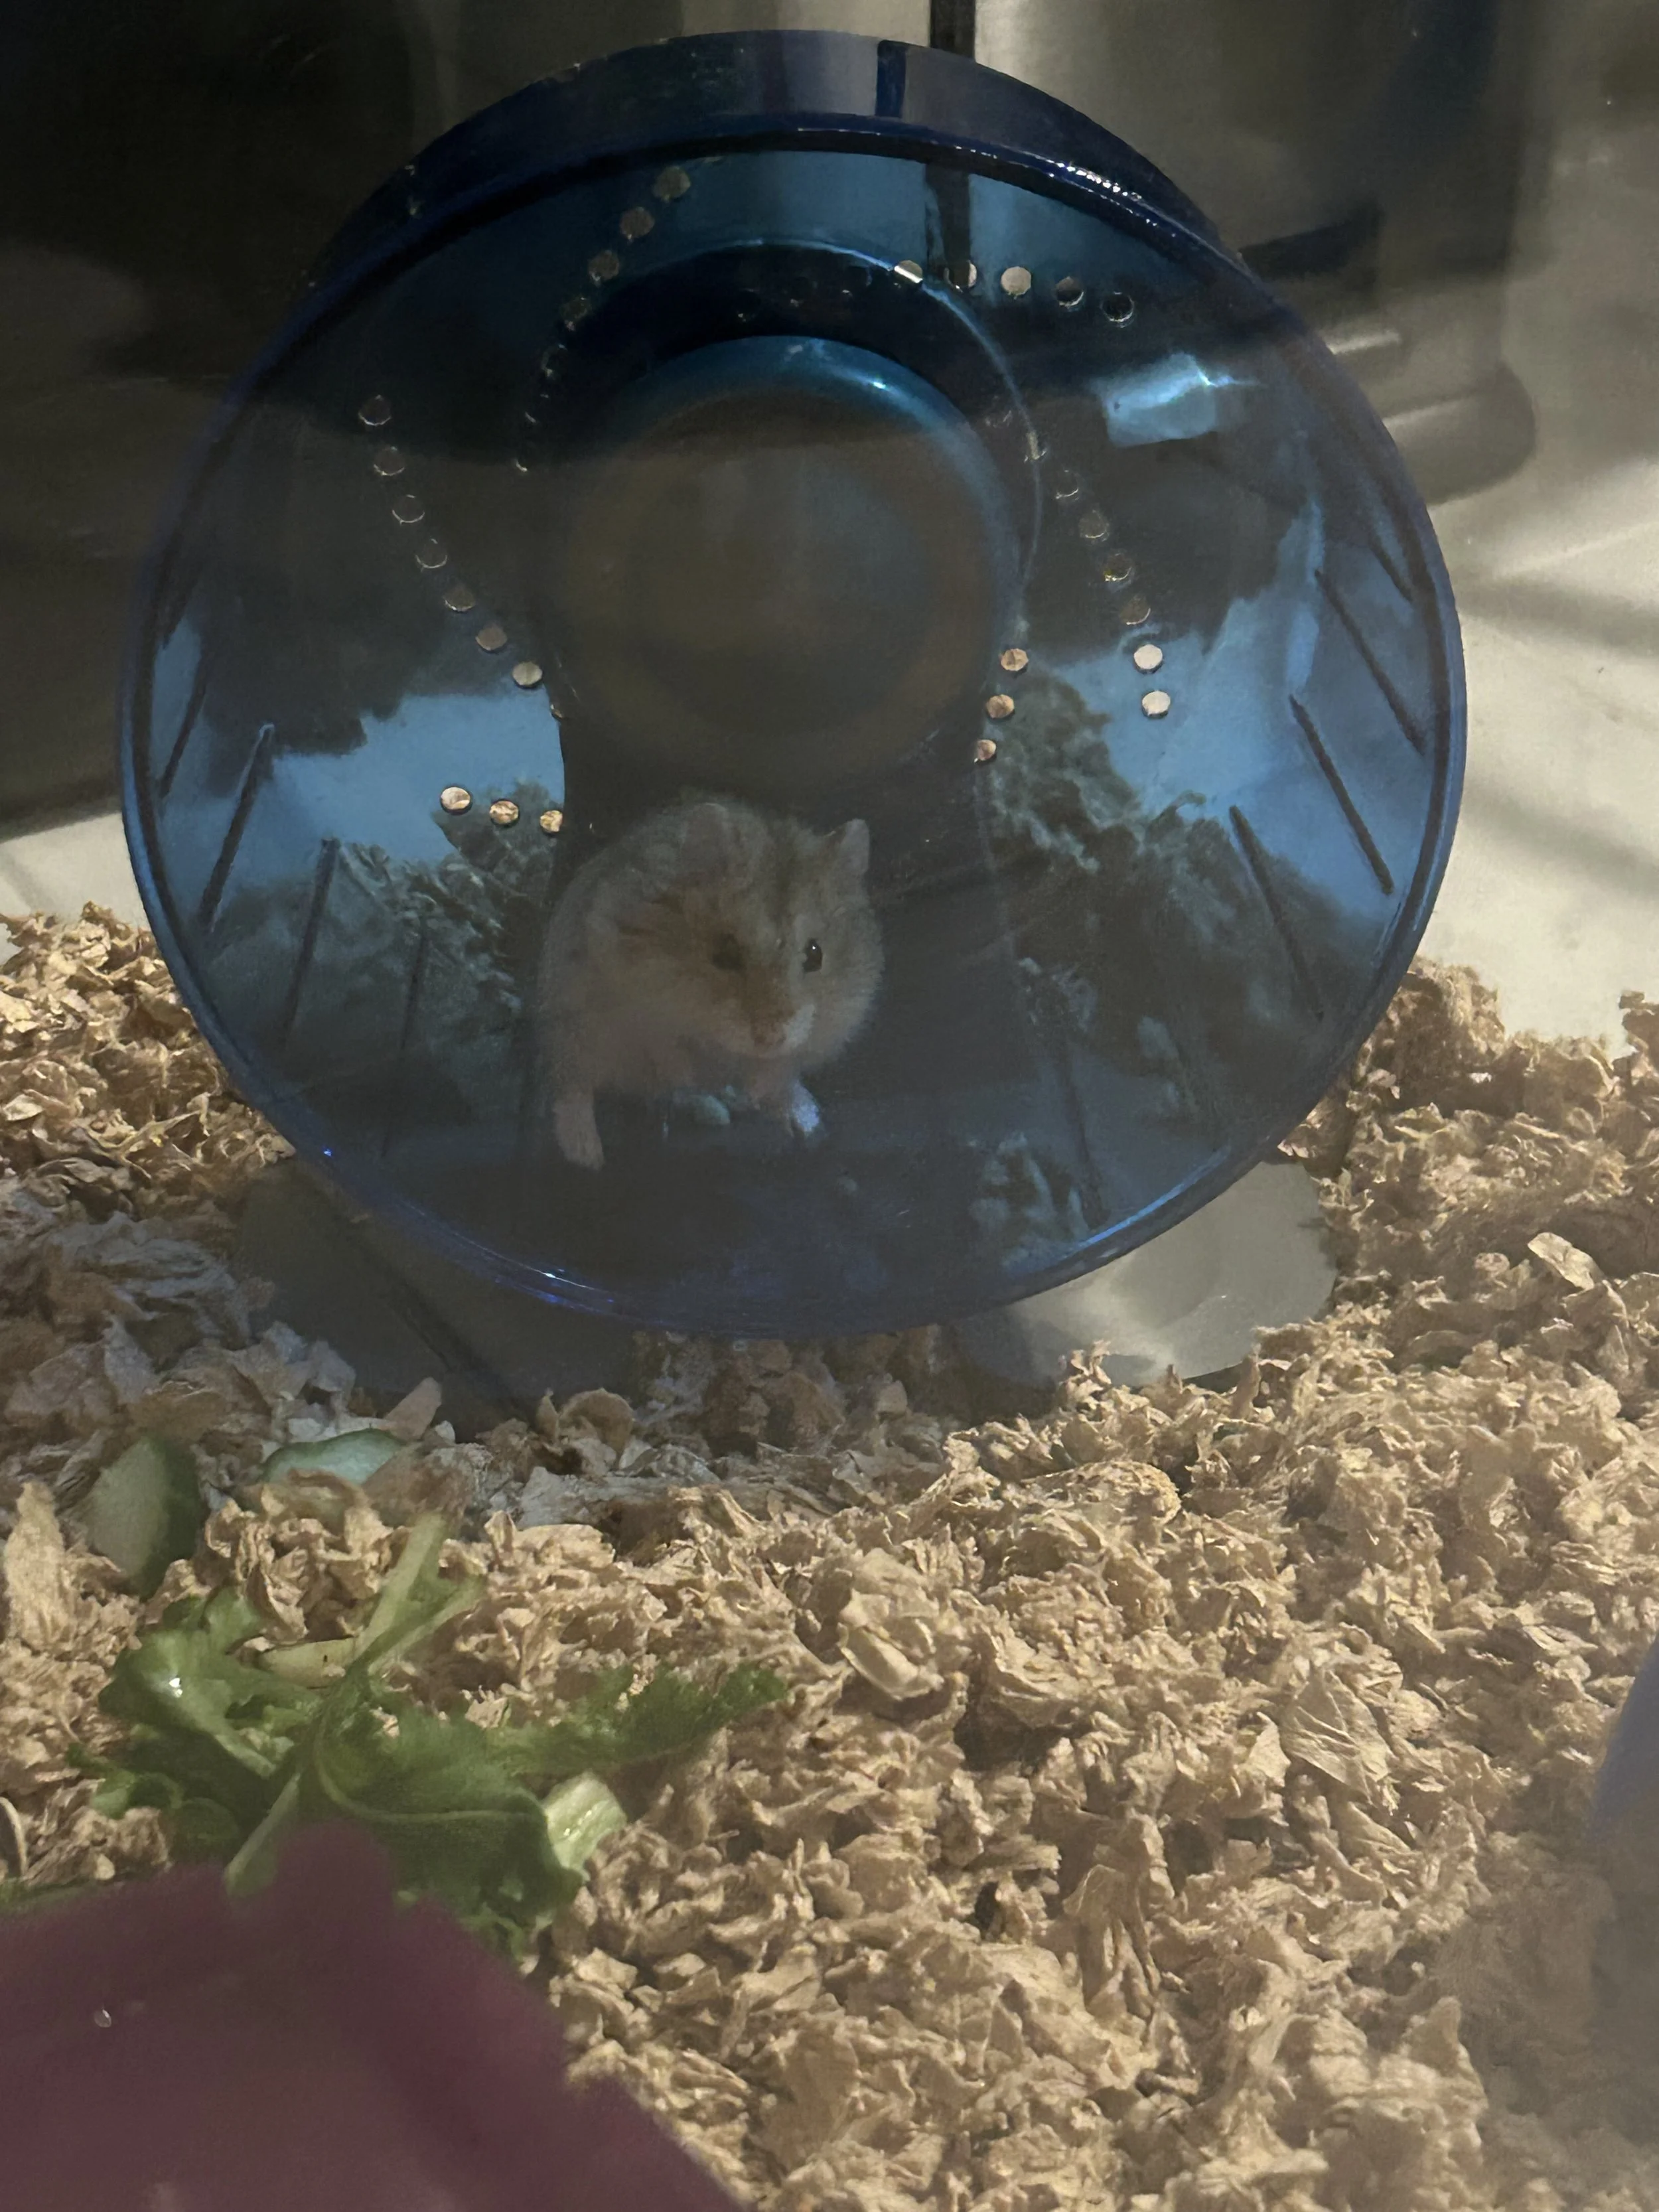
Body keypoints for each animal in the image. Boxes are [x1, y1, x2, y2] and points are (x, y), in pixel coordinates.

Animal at [537, 798, 883, 1171]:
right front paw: (688, 1071)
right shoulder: (629, 998)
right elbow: (666, 1044)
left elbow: (775, 1071)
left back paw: (760, 1113)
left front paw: (757, 1093)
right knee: (573, 1087)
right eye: (725, 953)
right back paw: (587, 1154)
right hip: (575, 1030)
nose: (770, 1038)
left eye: (816, 955)